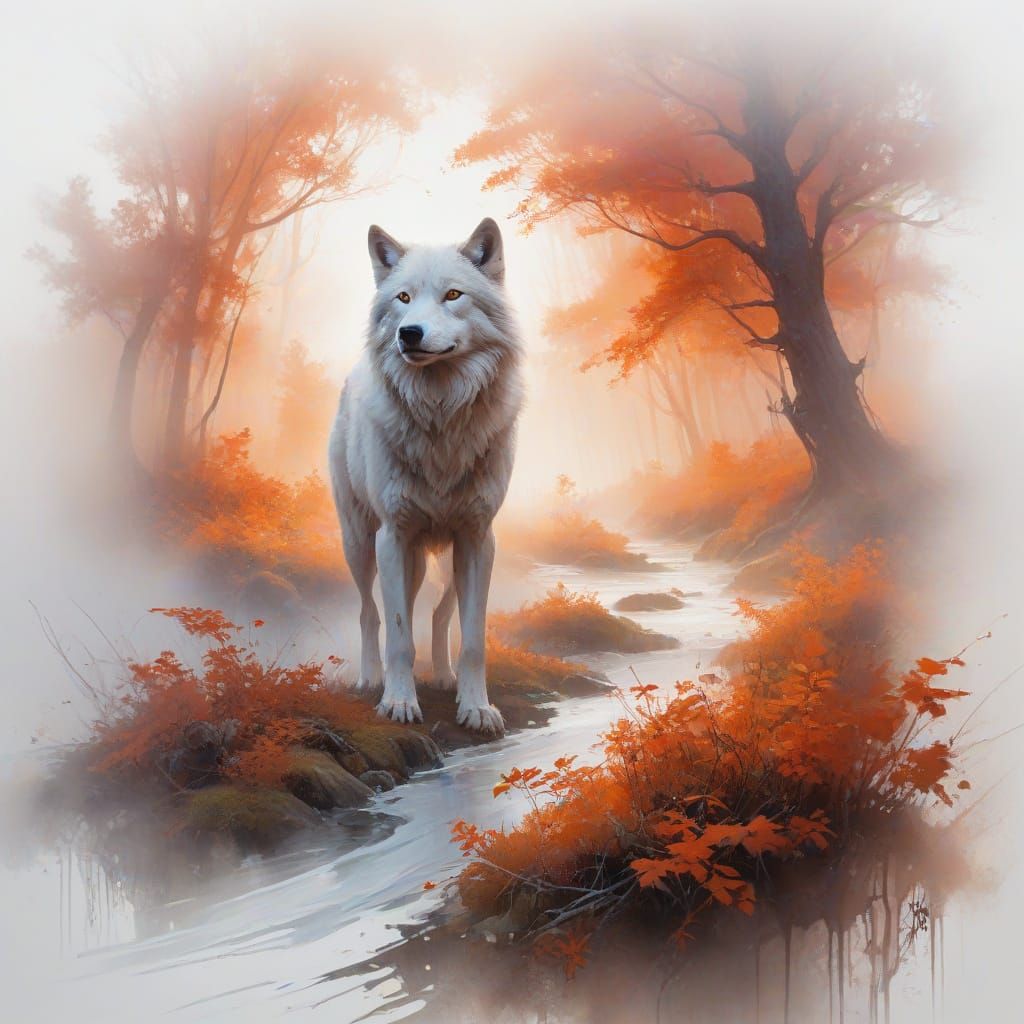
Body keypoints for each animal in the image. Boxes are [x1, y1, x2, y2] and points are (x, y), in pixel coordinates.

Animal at [328, 218, 524, 735]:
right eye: (403, 298)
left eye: (453, 294)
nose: (409, 333)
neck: (441, 417)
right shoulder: (393, 536)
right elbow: (398, 634)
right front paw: (398, 703)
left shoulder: (478, 537)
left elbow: (473, 639)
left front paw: (476, 708)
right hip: (362, 543)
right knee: (370, 613)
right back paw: (372, 680)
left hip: (448, 553)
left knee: (437, 614)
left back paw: (442, 676)